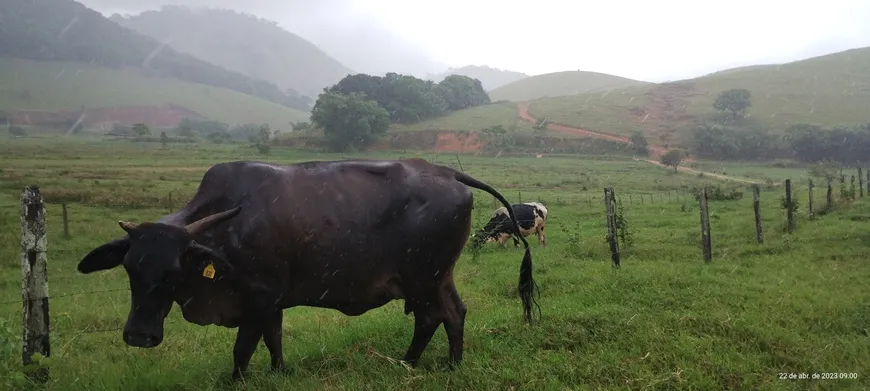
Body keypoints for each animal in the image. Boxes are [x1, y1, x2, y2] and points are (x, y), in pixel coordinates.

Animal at [76, 158, 540, 380]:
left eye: (173, 273)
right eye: (130, 269)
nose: (138, 336)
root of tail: (445, 171)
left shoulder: (258, 298)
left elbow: (243, 349)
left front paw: (236, 381)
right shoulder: (272, 302)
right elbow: (274, 340)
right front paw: (279, 372)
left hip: (424, 279)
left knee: (435, 317)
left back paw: (432, 364)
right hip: (434, 278)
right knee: (451, 314)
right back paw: (428, 363)